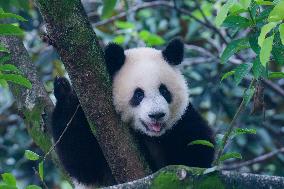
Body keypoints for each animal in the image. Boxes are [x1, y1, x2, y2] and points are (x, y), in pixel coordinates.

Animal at [51, 38, 215, 188]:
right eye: (138, 94)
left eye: (164, 91)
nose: (156, 115)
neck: (151, 136)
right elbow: (82, 161)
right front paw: (64, 90)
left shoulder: (183, 120)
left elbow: (198, 154)